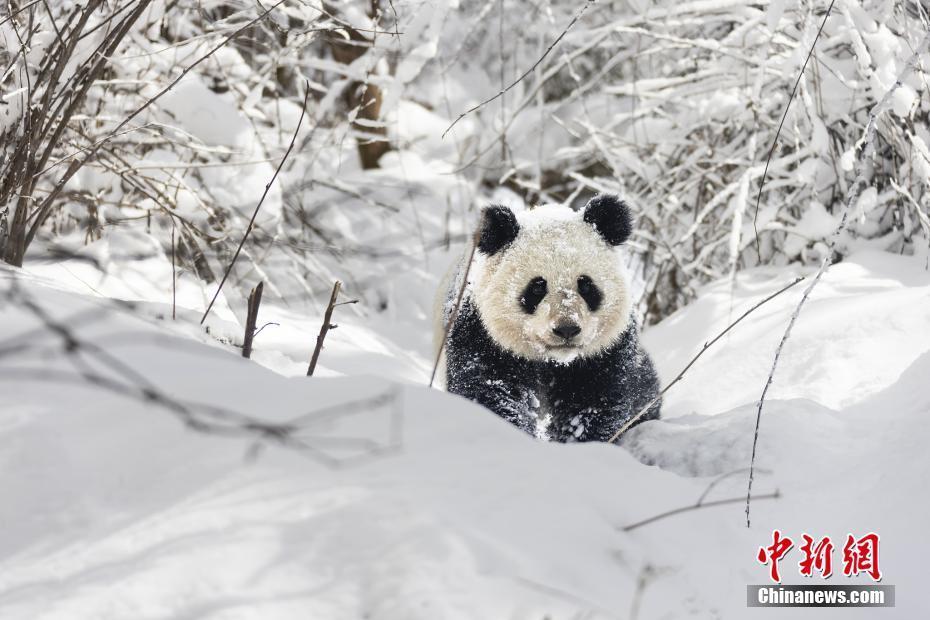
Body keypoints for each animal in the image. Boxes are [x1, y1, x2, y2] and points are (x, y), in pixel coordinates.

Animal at [436, 196, 660, 444]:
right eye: (537, 287)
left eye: (586, 285)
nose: (566, 330)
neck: (554, 360)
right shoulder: (482, 334)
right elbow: (489, 391)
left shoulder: (605, 350)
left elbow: (593, 401)